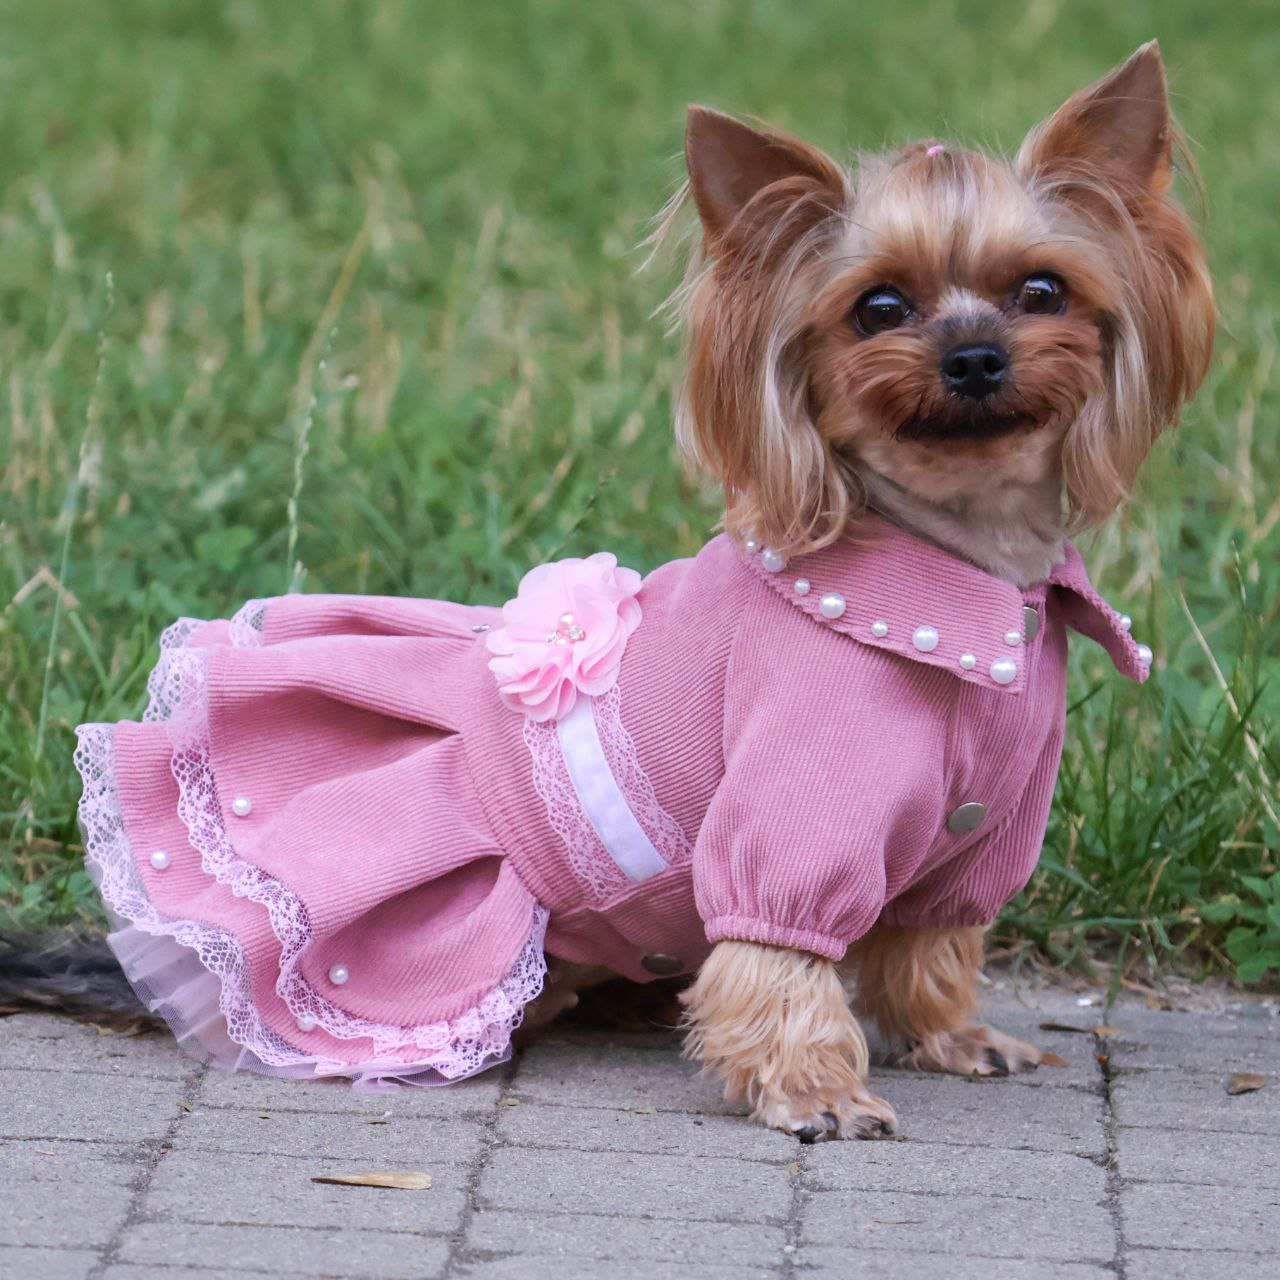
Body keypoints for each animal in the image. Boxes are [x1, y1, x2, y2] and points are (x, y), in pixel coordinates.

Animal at [660, 42, 1208, 1141]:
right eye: (878, 307)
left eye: (1040, 290)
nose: (974, 356)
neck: (963, 561)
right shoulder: (795, 814)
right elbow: (776, 958)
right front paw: (815, 1089)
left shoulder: (979, 828)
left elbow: (928, 937)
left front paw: (950, 1035)